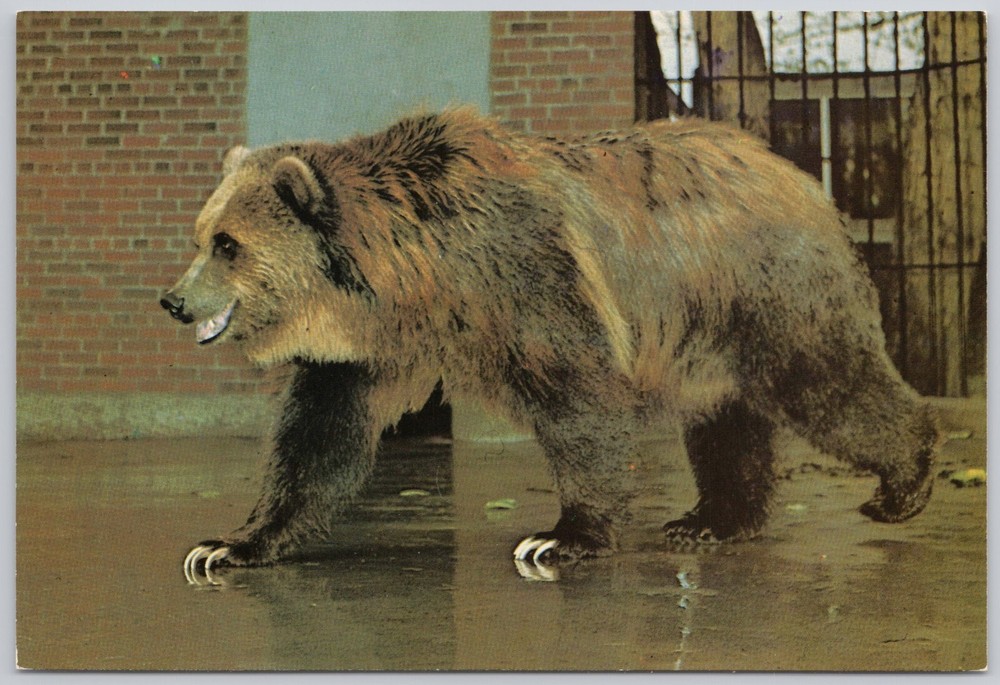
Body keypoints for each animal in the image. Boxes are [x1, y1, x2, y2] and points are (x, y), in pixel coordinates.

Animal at [161, 107, 937, 581]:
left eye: (228, 245)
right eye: (200, 236)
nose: (173, 300)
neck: (423, 276)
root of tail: (798, 172)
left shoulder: (531, 276)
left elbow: (578, 397)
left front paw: (561, 536)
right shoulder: (364, 351)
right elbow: (319, 437)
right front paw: (226, 543)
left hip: (763, 289)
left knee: (827, 383)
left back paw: (902, 485)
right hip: (706, 333)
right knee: (724, 417)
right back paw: (709, 521)